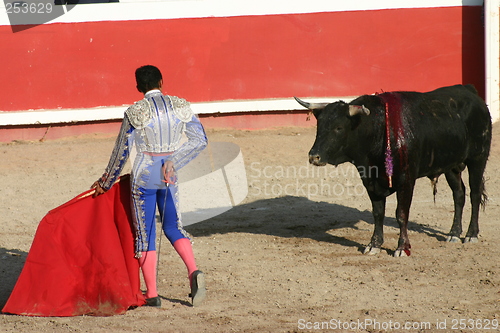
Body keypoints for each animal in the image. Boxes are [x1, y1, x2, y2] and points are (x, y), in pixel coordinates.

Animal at [296, 84, 492, 255]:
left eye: (339, 127)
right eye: (319, 126)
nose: (314, 156)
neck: (378, 131)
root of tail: (470, 90)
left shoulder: (406, 180)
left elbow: (401, 214)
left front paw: (402, 248)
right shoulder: (370, 180)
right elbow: (378, 213)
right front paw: (374, 245)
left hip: (478, 159)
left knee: (474, 194)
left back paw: (471, 234)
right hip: (451, 166)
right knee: (459, 194)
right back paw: (453, 234)